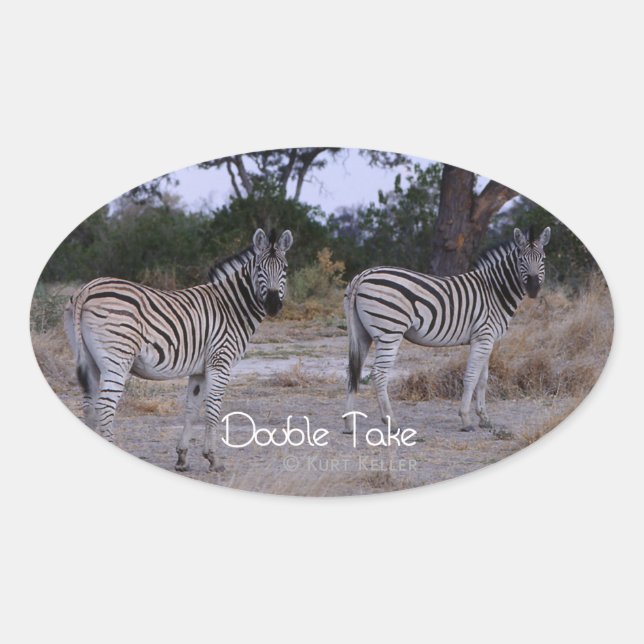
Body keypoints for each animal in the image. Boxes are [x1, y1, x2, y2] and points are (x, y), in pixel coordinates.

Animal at [64, 228, 293, 472]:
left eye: (285, 269)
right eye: (259, 268)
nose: (272, 305)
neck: (231, 307)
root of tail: (88, 288)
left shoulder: (200, 369)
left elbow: (191, 408)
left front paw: (182, 458)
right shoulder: (220, 361)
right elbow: (213, 409)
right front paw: (213, 459)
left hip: (89, 360)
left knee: (89, 405)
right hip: (117, 359)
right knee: (105, 406)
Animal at [344, 227, 551, 433]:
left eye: (543, 259)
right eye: (521, 259)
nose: (533, 288)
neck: (494, 291)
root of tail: (362, 276)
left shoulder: (487, 340)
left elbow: (483, 379)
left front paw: (484, 418)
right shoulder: (483, 337)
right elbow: (471, 377)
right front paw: (466, 419)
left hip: (361, 334)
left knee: (353, 371)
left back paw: (349, 423)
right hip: (390, 332)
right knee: (378, 374)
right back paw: (391, 423)